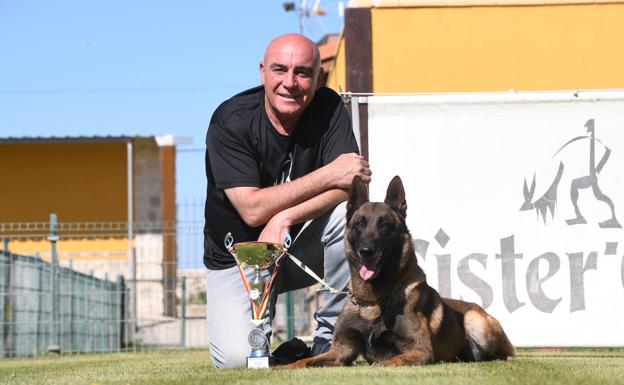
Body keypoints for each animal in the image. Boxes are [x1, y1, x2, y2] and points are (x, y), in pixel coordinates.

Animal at [286, 176, 516, 368]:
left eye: (384, 225)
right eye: (360, 223)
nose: (366, 251)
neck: (373, 299)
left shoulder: (420, 351)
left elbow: (387, 362)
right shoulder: (341, 351)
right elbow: (304, 362)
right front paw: (282, 368)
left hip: (476, 323)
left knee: (505, 354)